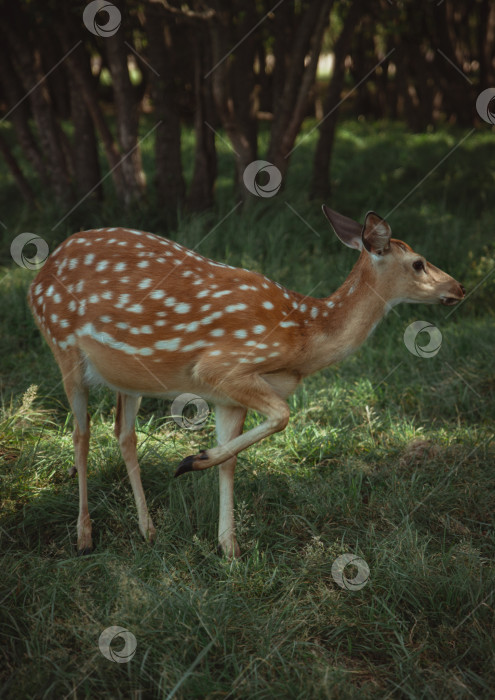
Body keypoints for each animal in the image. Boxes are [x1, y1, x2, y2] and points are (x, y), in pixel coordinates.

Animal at [29, 206, 466, 556]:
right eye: (419, 263)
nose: (459, 288)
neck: (302, 341)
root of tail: (39, 277)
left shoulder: (227, 398)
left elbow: (231, 461)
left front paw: (230, 547)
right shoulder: (222, 367)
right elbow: (283, 416)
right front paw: (189, 461)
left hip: (127, 377)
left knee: (123, 433)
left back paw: (148, 529)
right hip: (63, 346)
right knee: (82, 434)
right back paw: (84, 536)